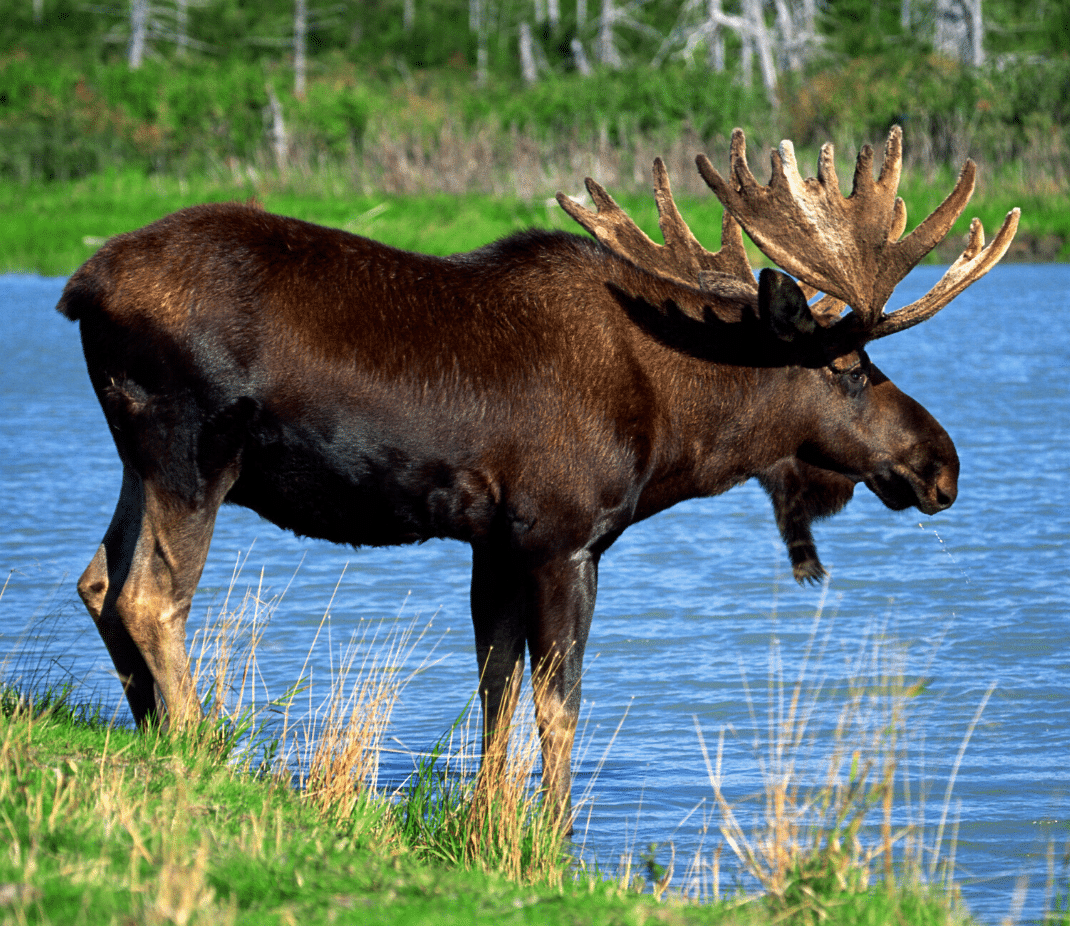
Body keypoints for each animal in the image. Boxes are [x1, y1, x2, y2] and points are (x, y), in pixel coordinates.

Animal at [58, 128, 1018, 822]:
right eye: (851, 366)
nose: (942, 464)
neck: (679, 425)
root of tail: (79, 287)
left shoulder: (495, 542)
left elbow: (496, 690)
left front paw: (486, 824)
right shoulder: (564, 538)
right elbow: (560, 704)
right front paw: (553, 837)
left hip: (137, 456)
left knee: (98, 578)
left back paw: (154, 736)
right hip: (192, 450)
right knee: (151, 595)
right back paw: (198, 749)